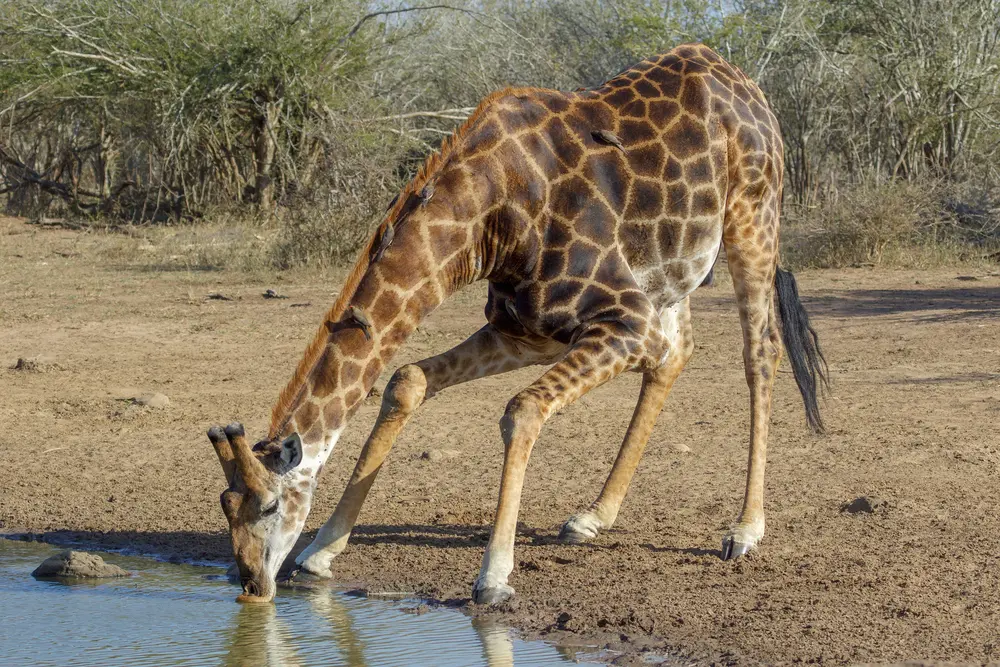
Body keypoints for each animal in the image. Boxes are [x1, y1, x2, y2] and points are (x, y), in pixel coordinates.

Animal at [208, 43, 828, 604]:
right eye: (225, 504)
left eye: (269, 505)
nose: (252, 585)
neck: (487, 218)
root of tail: (744, 83)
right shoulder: (526, 329)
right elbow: (407, 380)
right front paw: (320, 552)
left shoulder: (624, 322)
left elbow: (522, 409)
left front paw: (494, 577)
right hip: (670, 272)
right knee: (675, 355)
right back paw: (593, 517)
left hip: (753, 218)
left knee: (760, 351)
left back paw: (744, 530)